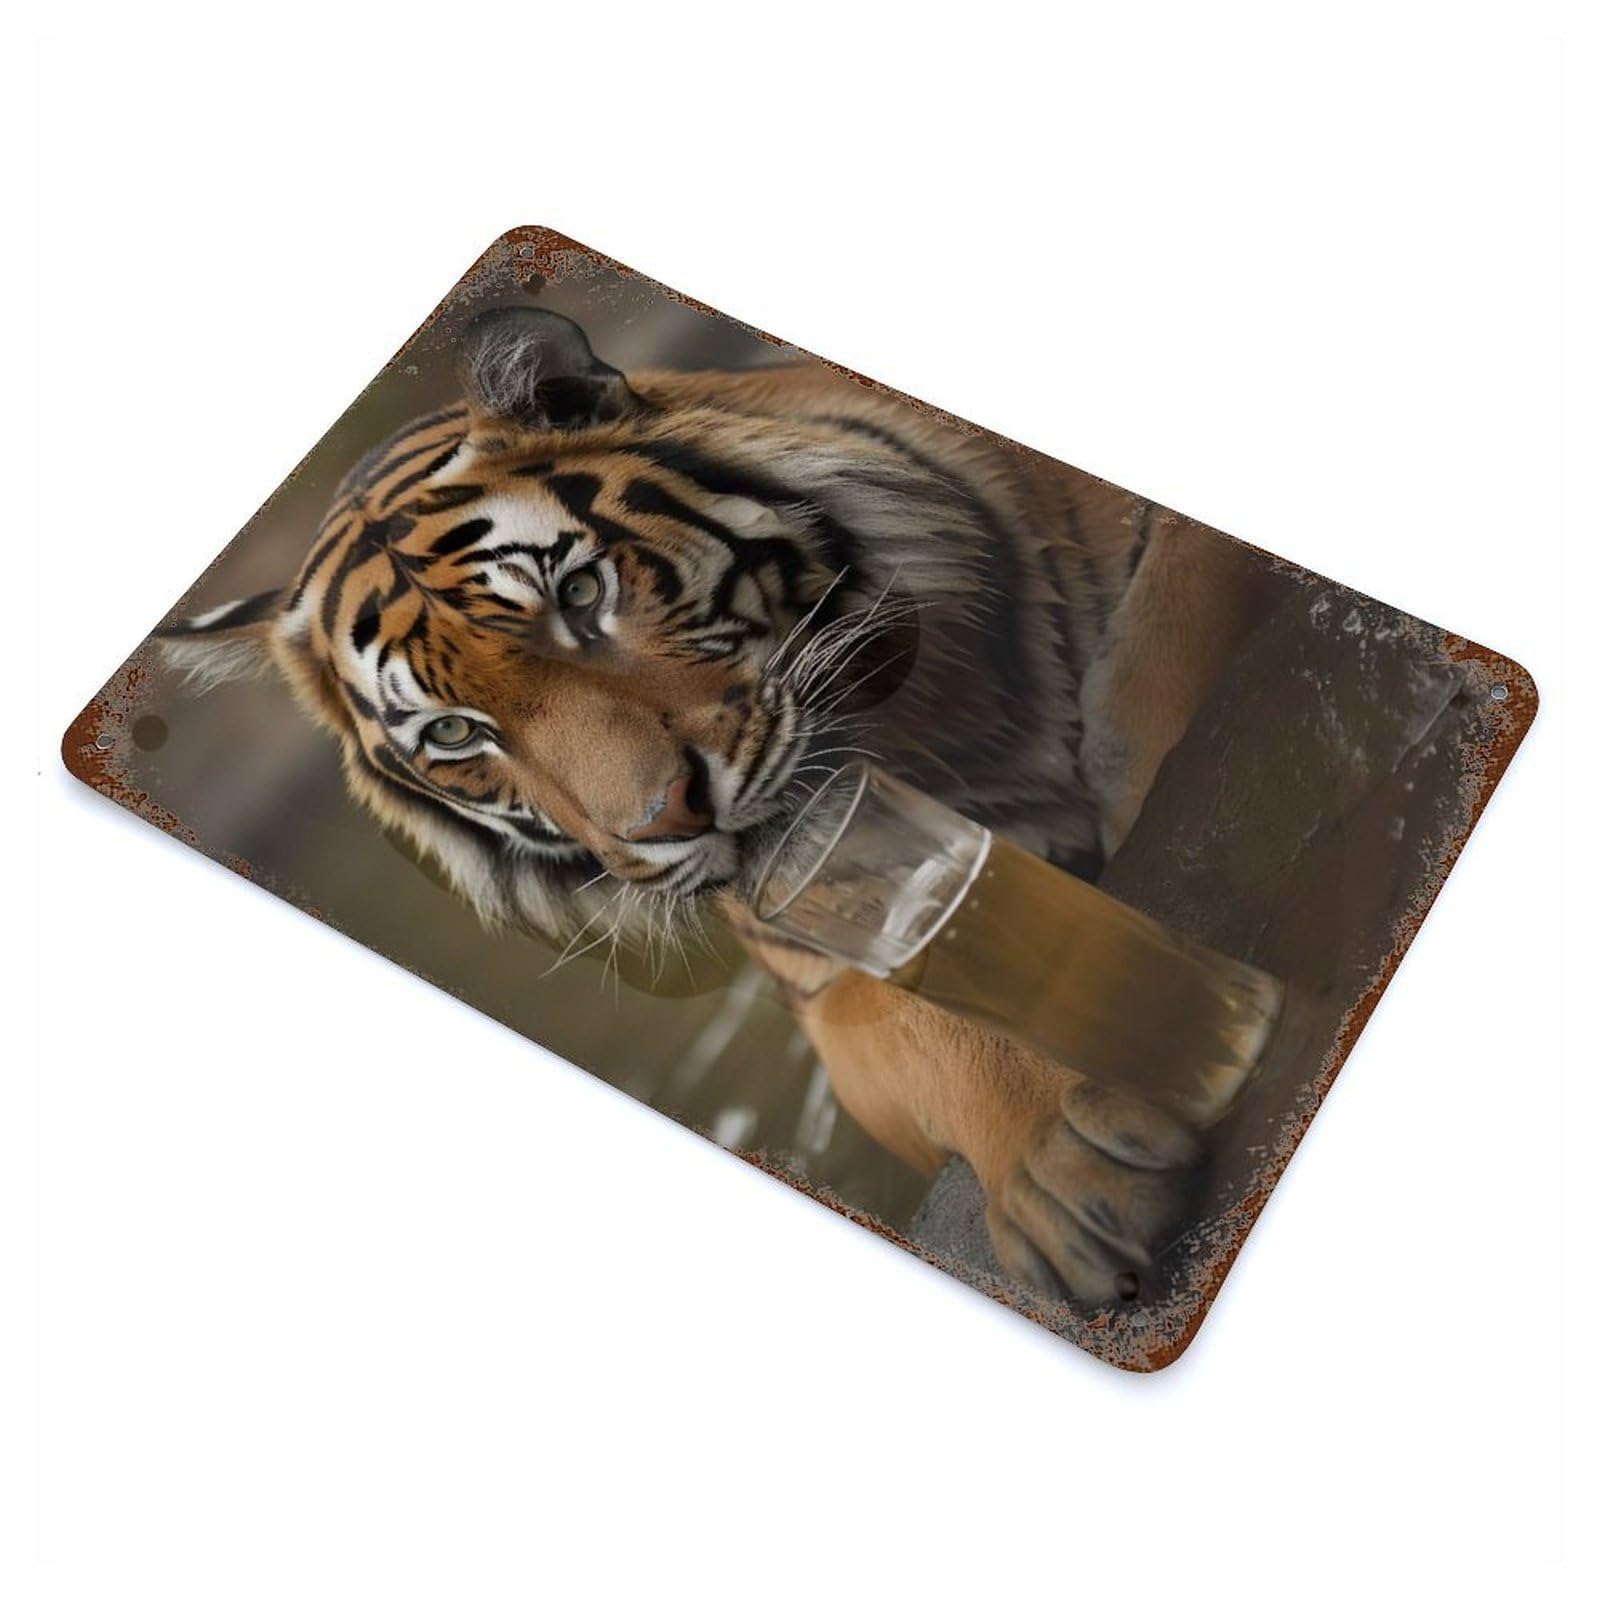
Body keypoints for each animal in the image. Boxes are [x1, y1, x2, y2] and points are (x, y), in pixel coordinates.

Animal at [159, 306, 1276, 1305]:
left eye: (578, 596)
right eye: (455, 735)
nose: (666, 818)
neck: (940, 751)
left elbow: (1170, 622)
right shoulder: (826, 988)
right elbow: (924, 1021)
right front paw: (1064, 1162)